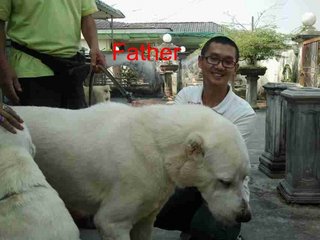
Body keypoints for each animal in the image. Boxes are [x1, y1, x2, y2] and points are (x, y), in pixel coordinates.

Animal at [15, 103, 252, 240]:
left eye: (244, 178)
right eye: (224, 181)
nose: (245, 216)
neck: (158, 145)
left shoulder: (150, 202)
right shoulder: (119, 206)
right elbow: (110, 221)